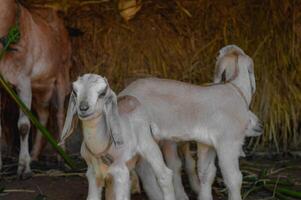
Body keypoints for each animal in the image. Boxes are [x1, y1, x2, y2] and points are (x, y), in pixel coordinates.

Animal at [0, 0, 71, 178]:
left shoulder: (23, 80)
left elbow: (24, 126)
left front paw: (24, 168)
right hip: (40, 87)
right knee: (44, 114)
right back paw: (34, 155)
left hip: (61, 76)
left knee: (59, 114)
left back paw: (63, 158)